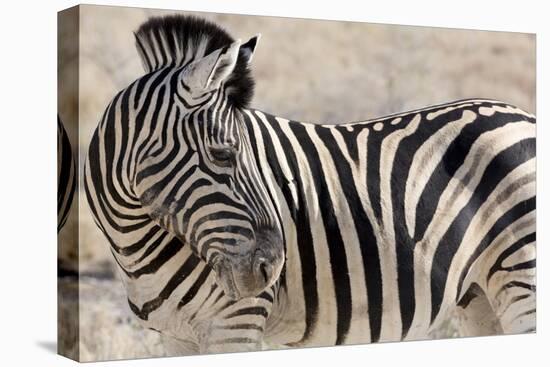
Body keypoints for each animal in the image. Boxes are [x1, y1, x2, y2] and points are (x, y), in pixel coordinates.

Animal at [84, 15, 536, 356]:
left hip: (522, 277)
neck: (134, 243)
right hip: (480, 294)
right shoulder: (177, 336)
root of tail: (520, 113)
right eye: (224, 155)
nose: (271, 269)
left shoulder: (235, 322)